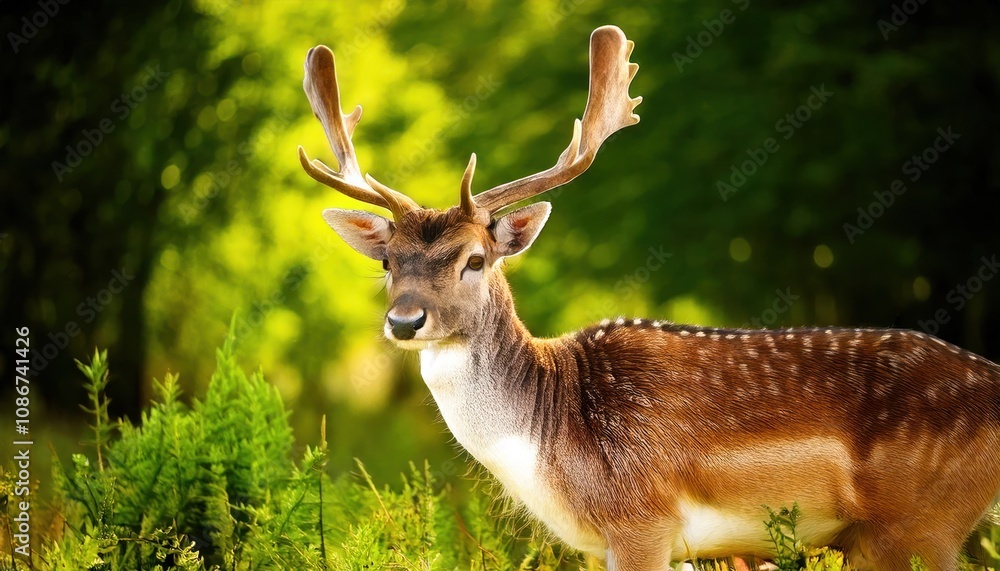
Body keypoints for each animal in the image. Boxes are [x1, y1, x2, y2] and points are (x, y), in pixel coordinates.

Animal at [298, 25, 1000, 571]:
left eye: (475, 259)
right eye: (387, 261)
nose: (405, 319)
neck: (551, 445)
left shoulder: (641, 519)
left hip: (921, 525)